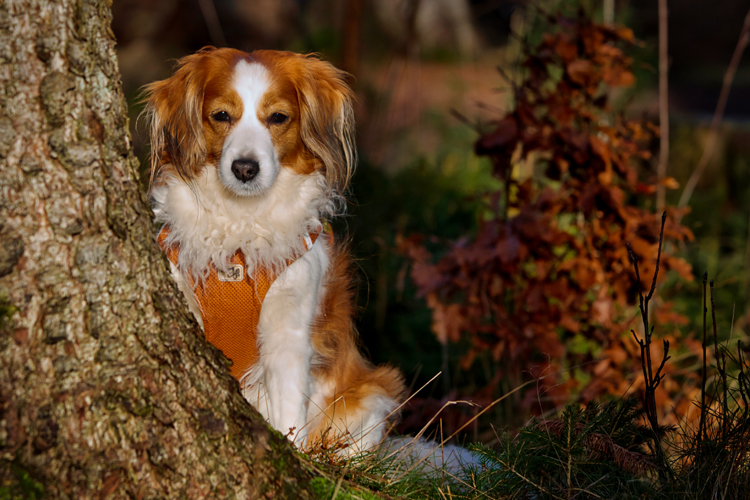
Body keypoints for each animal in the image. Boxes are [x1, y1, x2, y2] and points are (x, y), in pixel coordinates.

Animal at [145, 47, 408, 454]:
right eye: (221, 115)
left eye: (278, 118)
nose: (245, 168)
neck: (241, 225)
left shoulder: (290, 329)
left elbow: (288, 411)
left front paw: (292, 452)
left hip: (372, 393)